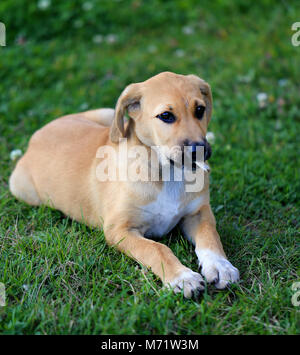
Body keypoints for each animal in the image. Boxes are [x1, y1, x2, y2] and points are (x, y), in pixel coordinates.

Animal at [9, 71, 239, 298]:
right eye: (166, 116)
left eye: (200, 110)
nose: (199, 151)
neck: (167, 173)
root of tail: (35, 137)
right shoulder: (119, 230)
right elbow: (156, 249)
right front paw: (181, 277)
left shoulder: (199, 212)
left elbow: (210, 237)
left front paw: (221, 266)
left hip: (106, 113)